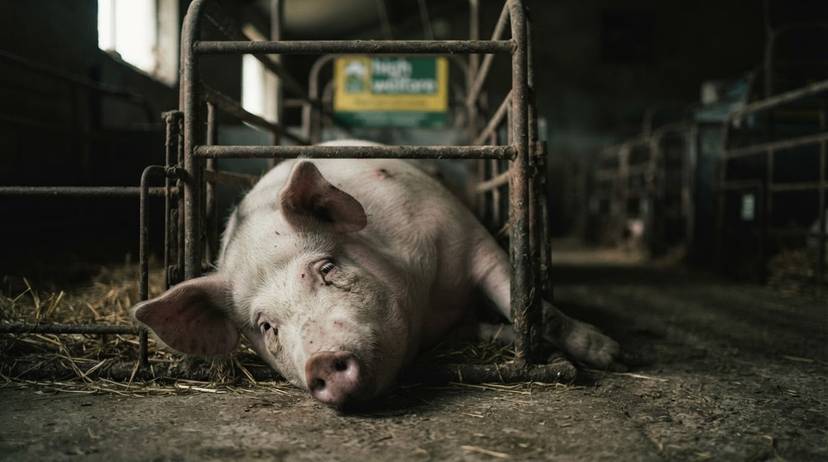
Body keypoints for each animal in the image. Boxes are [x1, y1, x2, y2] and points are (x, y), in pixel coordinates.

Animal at [131, 140, 620, 408]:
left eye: (327, 268)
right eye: (266, 326)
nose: (321, 360)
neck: (427, 307)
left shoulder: (468, 235)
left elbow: (525, 305)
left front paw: (610, 356)